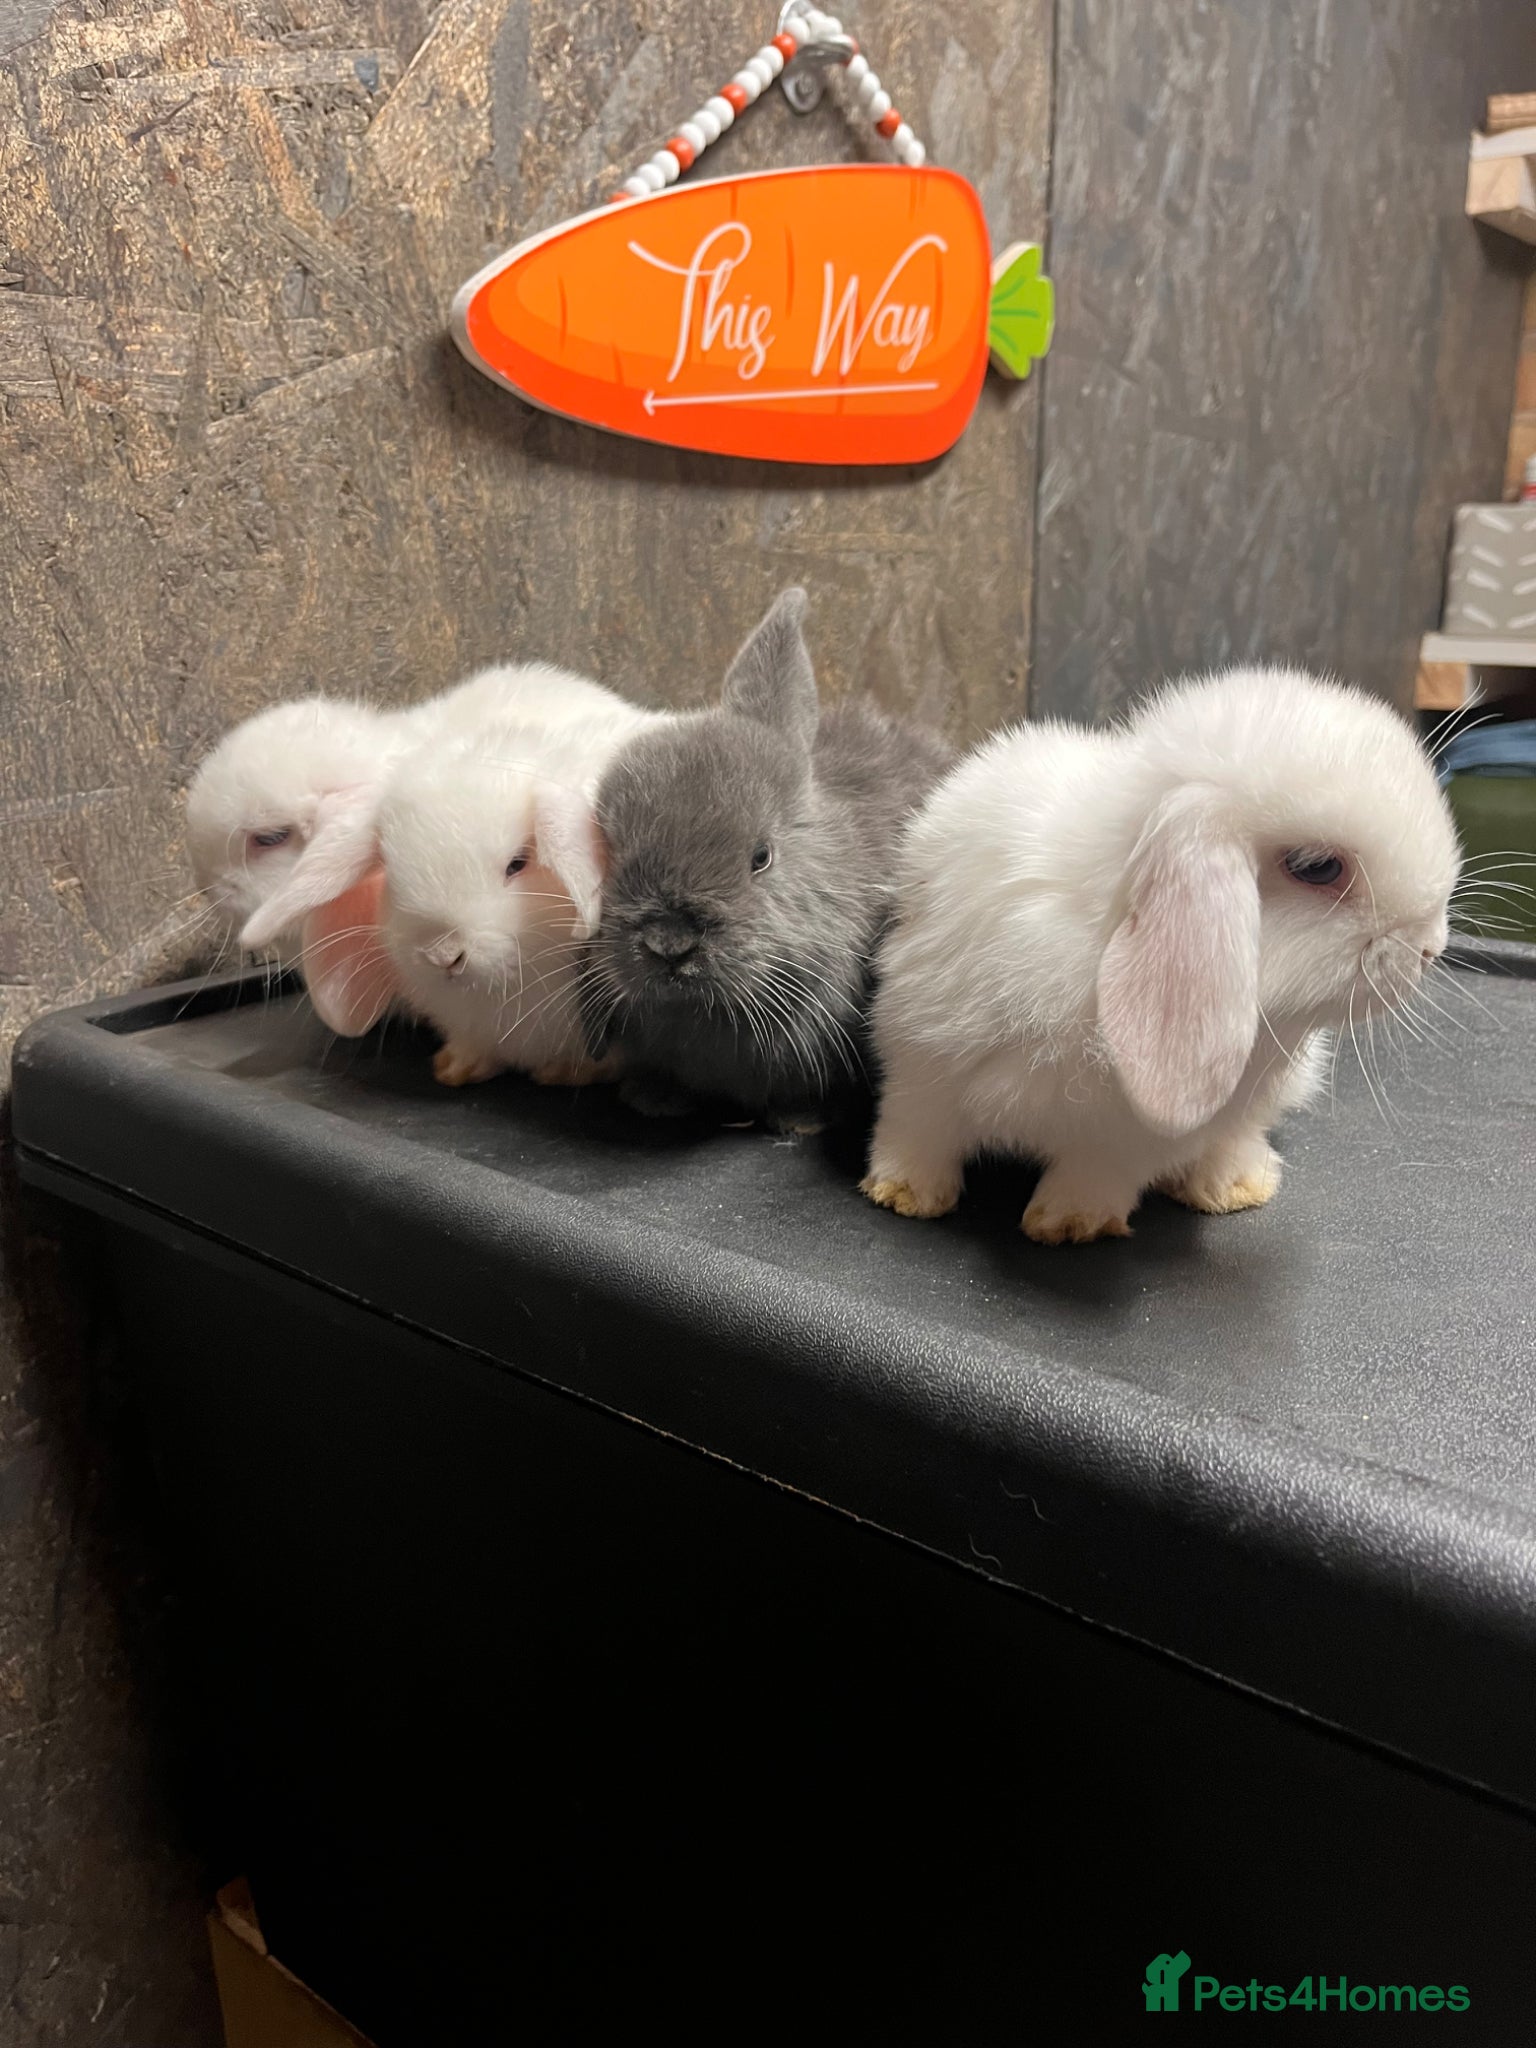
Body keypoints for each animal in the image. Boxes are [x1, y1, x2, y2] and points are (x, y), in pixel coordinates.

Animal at [861, 666, 1462, 1244]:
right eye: (1317, 867)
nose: (1431, 948)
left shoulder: (1126, 1137)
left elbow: (1095, 1173)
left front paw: (1069, 1225)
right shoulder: (922, 1056)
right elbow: (915, 1128)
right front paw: (903, 1194)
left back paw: (1234, 1186)